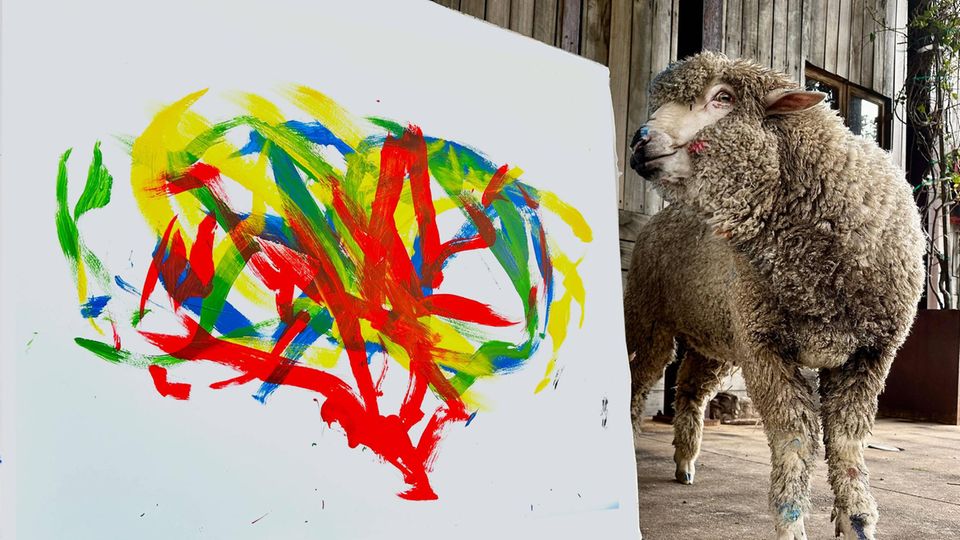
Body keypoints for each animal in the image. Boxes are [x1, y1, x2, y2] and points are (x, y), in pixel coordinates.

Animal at [624, 52, 924, 540]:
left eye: (723, 98)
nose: (639, 140)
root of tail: (660, 218)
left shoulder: (871, 353)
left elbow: (847, 439)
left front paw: (857, 521)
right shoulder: (765, 347)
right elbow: (794, 436)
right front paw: (792, 521)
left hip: (716, 332)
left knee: (690, 389)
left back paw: (686, 461)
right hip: (650, 317)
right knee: (637, 381)